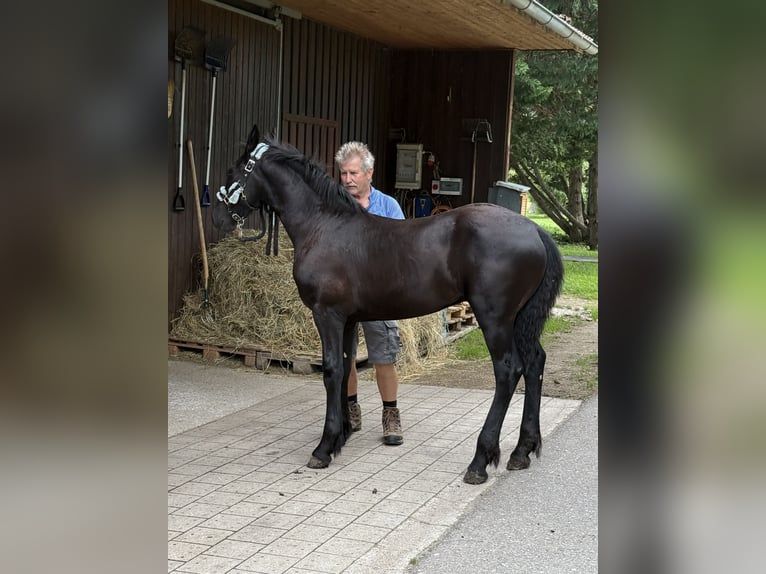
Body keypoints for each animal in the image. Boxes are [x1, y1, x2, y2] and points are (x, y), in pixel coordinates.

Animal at [212, 125, 564, 484]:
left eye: (234, 171)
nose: (219, 217)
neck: (324, 225)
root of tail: (535, 230)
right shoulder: (348, 320)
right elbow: (345, 368)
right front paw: (341, 436)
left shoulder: (327, 315)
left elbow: (331, 370)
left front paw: (324, 448)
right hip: (521, 319)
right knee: (534, 363)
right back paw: (522, 451)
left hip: (495, 319)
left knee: (508, 371)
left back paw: (480, 460)